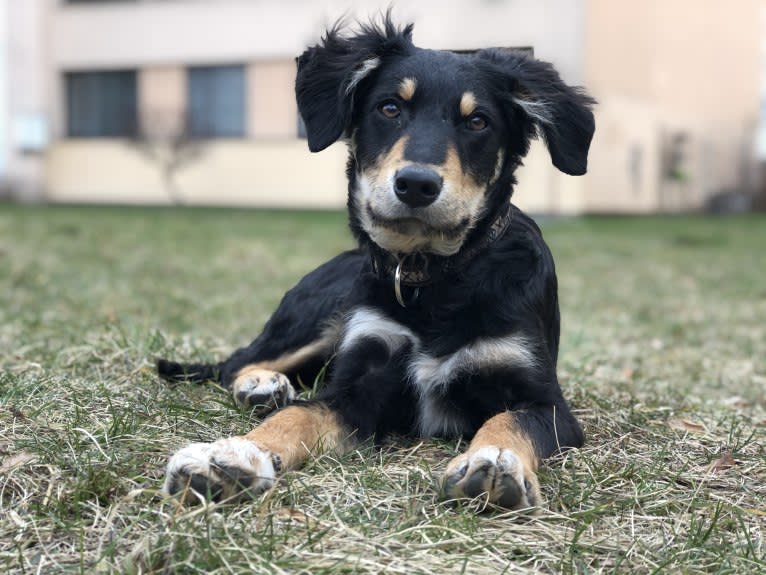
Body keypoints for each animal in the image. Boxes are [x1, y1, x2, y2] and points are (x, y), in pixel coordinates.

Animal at [159, 16, 596, 512]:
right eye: (389, 108)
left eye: (478, 121)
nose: (417, 185)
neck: (434, 279)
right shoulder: (359, 382)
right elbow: (296, 416)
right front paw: (231, 456)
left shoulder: (546, 402)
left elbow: (509, 421)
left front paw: (493, 462)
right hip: (319, 315)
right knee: (240, 361)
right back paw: (263, 386)